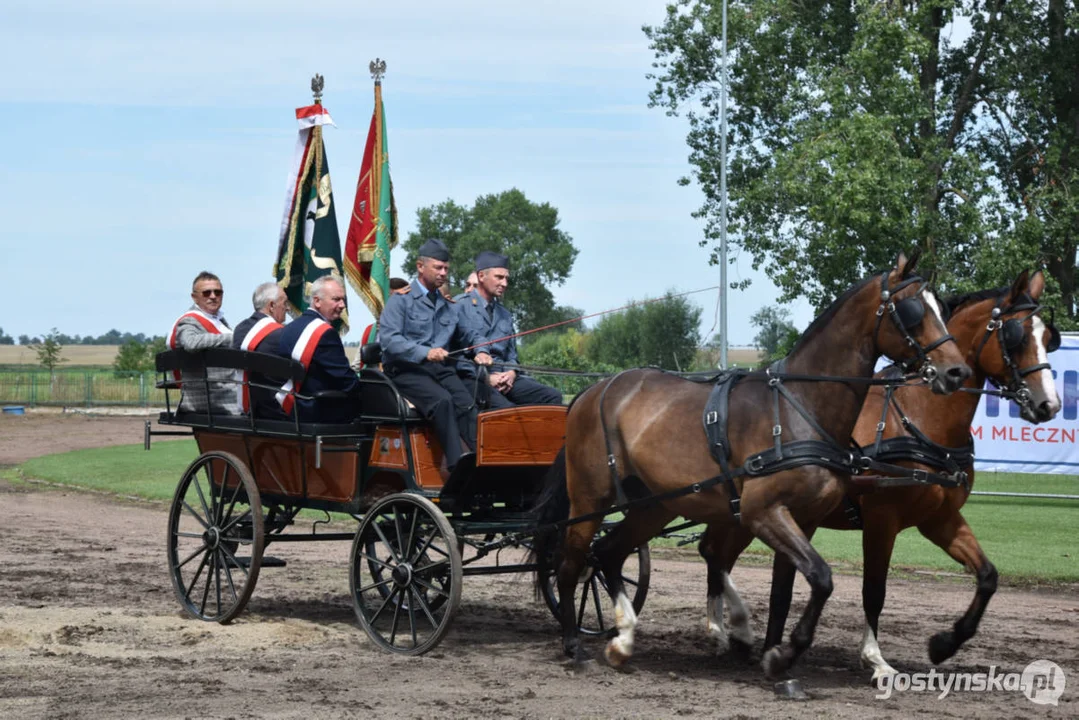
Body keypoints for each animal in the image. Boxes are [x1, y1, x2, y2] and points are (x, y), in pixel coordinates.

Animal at [530, 250, 971, 677]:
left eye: (942, 307)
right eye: (913, 309)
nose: (957, 371)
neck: (799, 406)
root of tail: (594, 390)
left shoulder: (803, 517)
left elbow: (791, 588)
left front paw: (774, 653)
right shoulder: (764, 511)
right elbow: (822, 578)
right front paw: (783, 653)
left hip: (654, 504)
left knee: (609, 553)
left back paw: (624, 639)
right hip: (591, 498)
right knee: (571, 562)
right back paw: (575, 646)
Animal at [703, 269, 1066, 682]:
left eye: (1048, 338)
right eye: (1016, 335)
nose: (1049, 404)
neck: (918, 418)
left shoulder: (939, 518)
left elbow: (988, 576)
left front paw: (944, 644)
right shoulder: (882, 518)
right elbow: (874, 590)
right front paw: (874, 658)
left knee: (714, 554)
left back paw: (726, 629)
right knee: (715, 555)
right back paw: (726, 629)